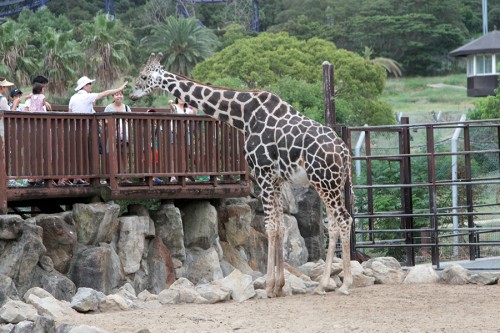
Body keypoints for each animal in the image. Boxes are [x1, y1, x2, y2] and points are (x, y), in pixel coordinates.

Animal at [131, 53, 354, 296]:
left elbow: (270, 226)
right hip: (329, 183)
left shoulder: (263, 173)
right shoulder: (276, 179)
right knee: (334, 224)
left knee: (344, 219)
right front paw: (279, 285)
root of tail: (345, 153)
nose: (132, 94)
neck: (244, 116)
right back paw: (323, 284)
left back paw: (346, 285)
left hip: (325, 181)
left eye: (143, 76)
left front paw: (269, 286)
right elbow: (280, 226)